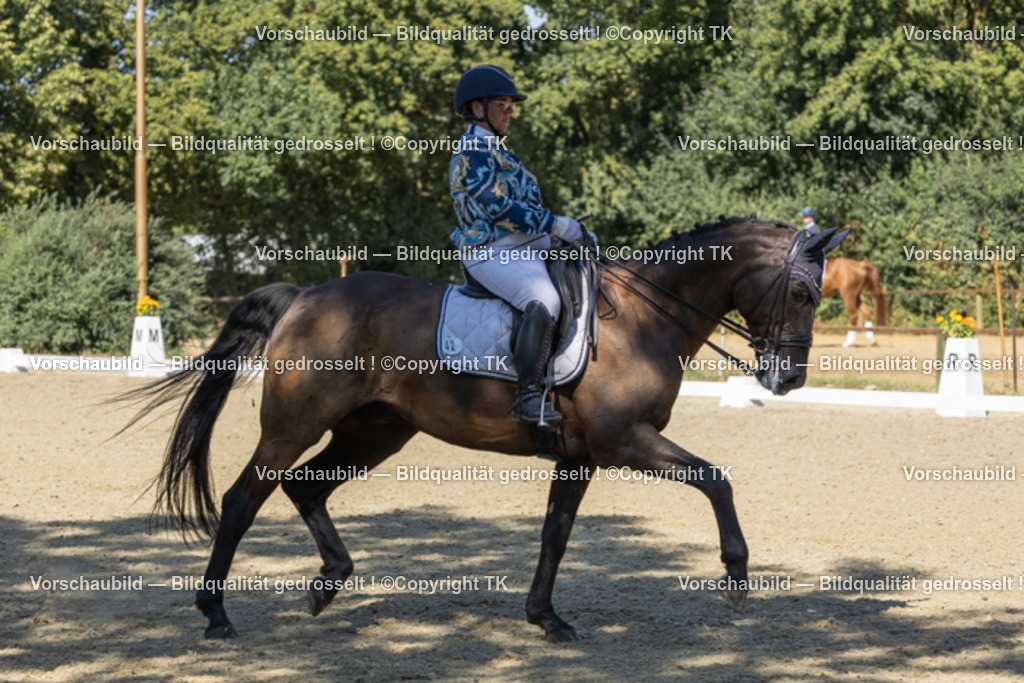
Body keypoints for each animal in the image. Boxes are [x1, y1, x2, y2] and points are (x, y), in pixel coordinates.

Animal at [124, 217, 847, 642]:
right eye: (803, 293)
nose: (789, 379)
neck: (643, 319)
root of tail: (306, 297)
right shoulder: (623, 440)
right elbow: (715, 479)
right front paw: (736, 576)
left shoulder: (581, 455)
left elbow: (556, 534)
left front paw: (545, 617)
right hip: (294, 425)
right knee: (244, 499)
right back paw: (216, 614)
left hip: (374, 432)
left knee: (307, 489)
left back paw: (329, 582)